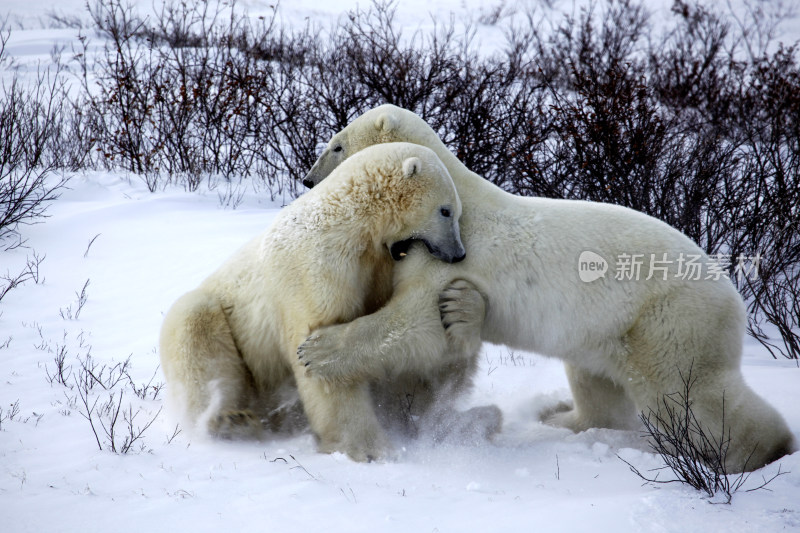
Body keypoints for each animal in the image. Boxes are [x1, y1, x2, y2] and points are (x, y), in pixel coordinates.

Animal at [159, 142, 484, 462]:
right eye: (446, 210)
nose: (458, 254)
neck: (351, 221)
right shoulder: (317, 265)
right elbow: (322, 346)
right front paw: (368, 448)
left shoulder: (379, 267)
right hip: (226, 326)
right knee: (198, 339)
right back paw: (230, 421)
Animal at [298, 105, 792, 474]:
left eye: (337, 144)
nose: (307, 180)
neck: (459, 203)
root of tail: (736, 298)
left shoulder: (450, 258)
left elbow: (415, 321)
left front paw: (318, 350)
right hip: (606, 329)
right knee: (596, 382)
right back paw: (561, 415)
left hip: (667, 321)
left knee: (688, 396)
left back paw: (752, 454)